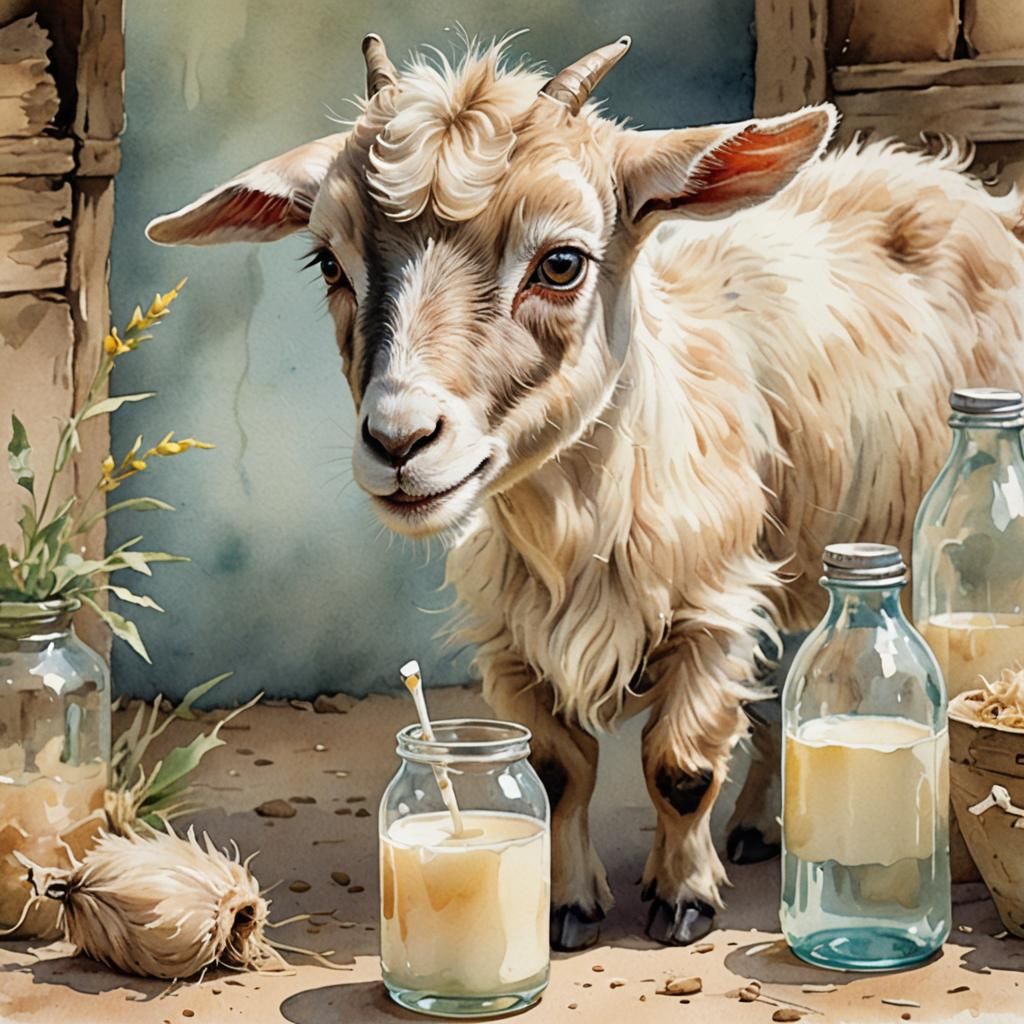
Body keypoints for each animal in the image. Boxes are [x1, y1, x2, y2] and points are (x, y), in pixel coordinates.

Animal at [147, 35, 1024, 949]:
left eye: (561, 262)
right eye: (328, 262)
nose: (398, 440)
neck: (583, 516)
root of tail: (946, 178)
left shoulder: (713, 607)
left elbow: (680, 767)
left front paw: (682, 900)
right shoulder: (512, 637)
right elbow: (557, 770)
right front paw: (568, 905)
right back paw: (755, 827)